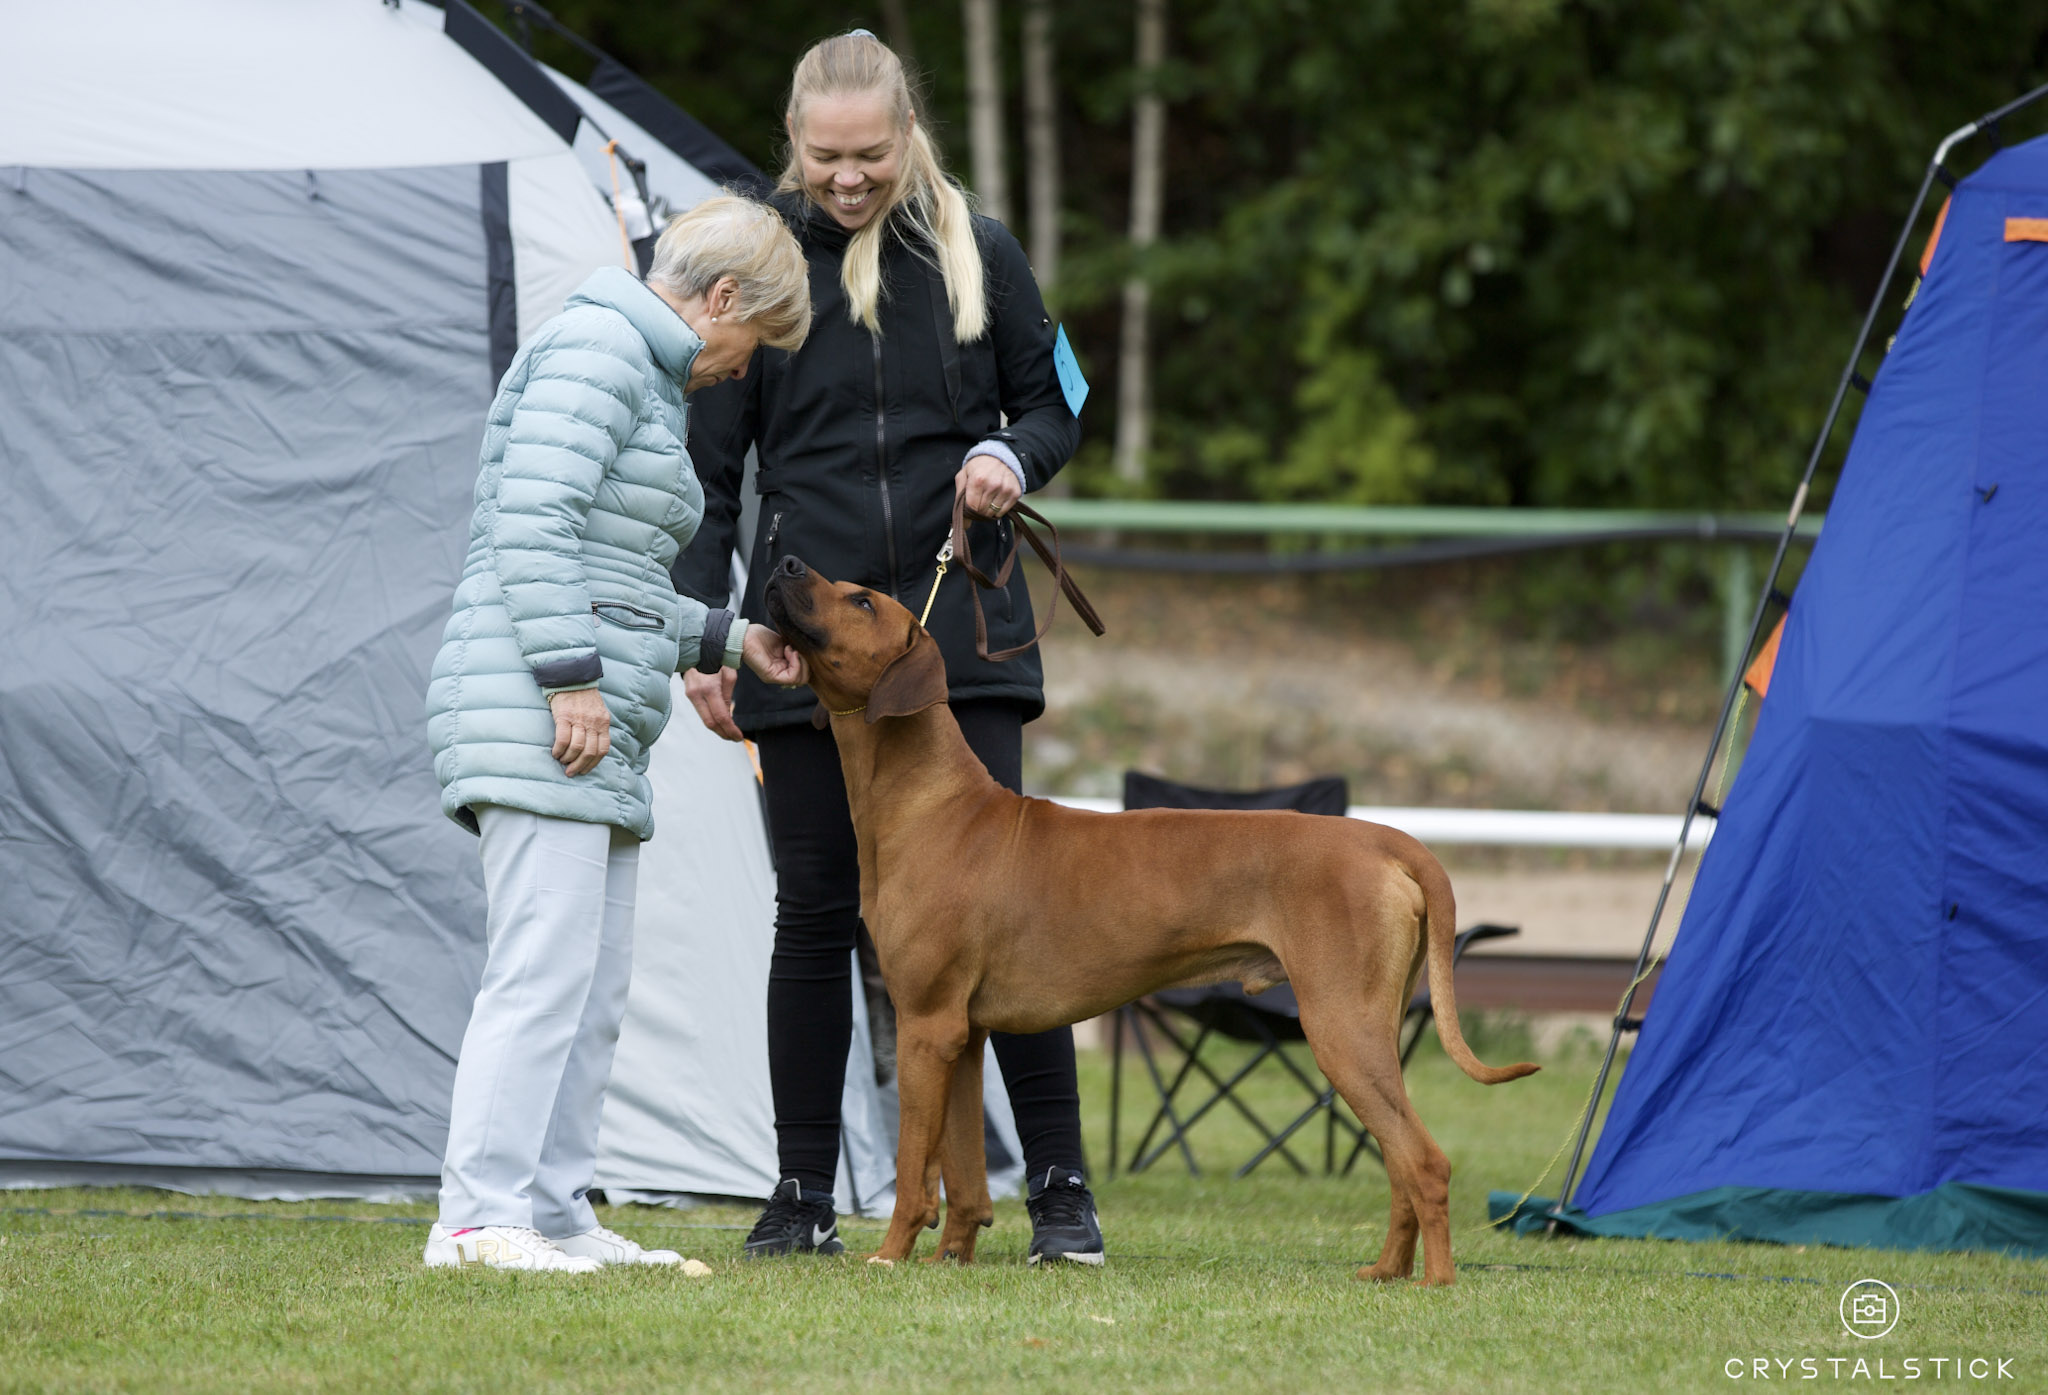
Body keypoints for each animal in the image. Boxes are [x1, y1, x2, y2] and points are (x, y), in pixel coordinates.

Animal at [765, 553, 1540, 1286]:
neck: (935, 805)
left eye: (864, 601)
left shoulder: (925, 1026)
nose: (786, 561)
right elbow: (964, 1177)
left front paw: (890, 1255)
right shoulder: (963, 1032)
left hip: (1341, 1028)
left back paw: (1434, 1281)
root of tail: (1388, 840)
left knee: (1425, 1161)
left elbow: (914, 1172)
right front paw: (948, 1259)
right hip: (1370, 1032)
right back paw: (1386, 1270)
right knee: (1399, 1160)